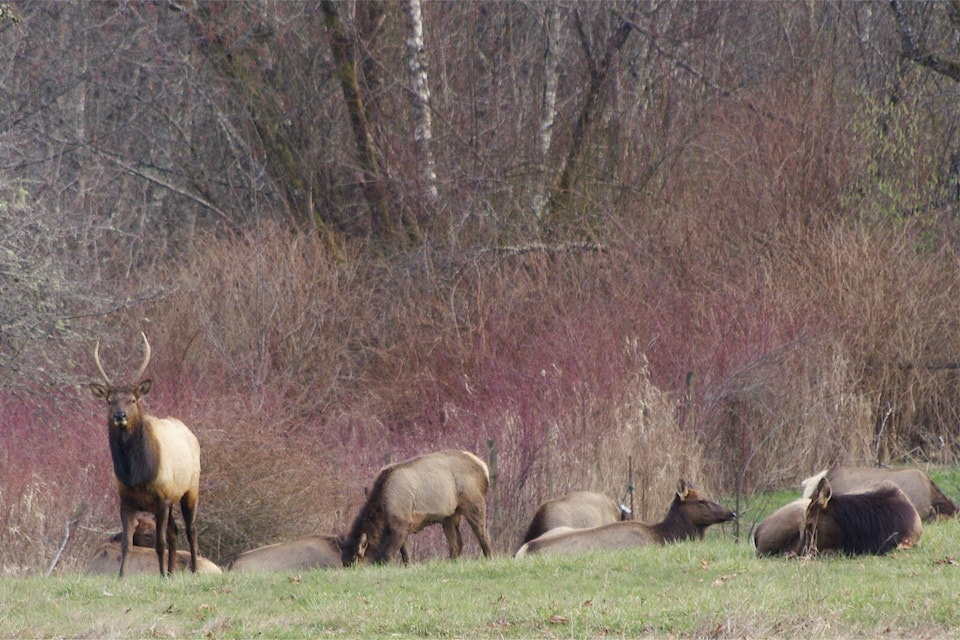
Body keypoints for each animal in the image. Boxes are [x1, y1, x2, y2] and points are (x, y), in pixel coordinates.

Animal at [91, 332, 202, 576]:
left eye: (133, 400)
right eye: (110, 401)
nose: (120, 415)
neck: (137, 475)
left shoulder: (162, 498)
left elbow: (159, 543)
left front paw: (159, 574)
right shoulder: (126, 500)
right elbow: (127, 544)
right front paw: (121, 576)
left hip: (191, 489)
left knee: (191, 529)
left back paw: (194, 570)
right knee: (174, 533)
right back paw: (170, 573)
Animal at [340, 450, 492, 564]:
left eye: (356, 559)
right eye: (343, 561)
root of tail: (484, 468)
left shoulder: (400, 524)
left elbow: (388, 555)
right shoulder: (404, 526)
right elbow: (405, 554)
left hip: (474, 503)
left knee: (483, 535)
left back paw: (489, 559)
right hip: (450, 515)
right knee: (457, 544)